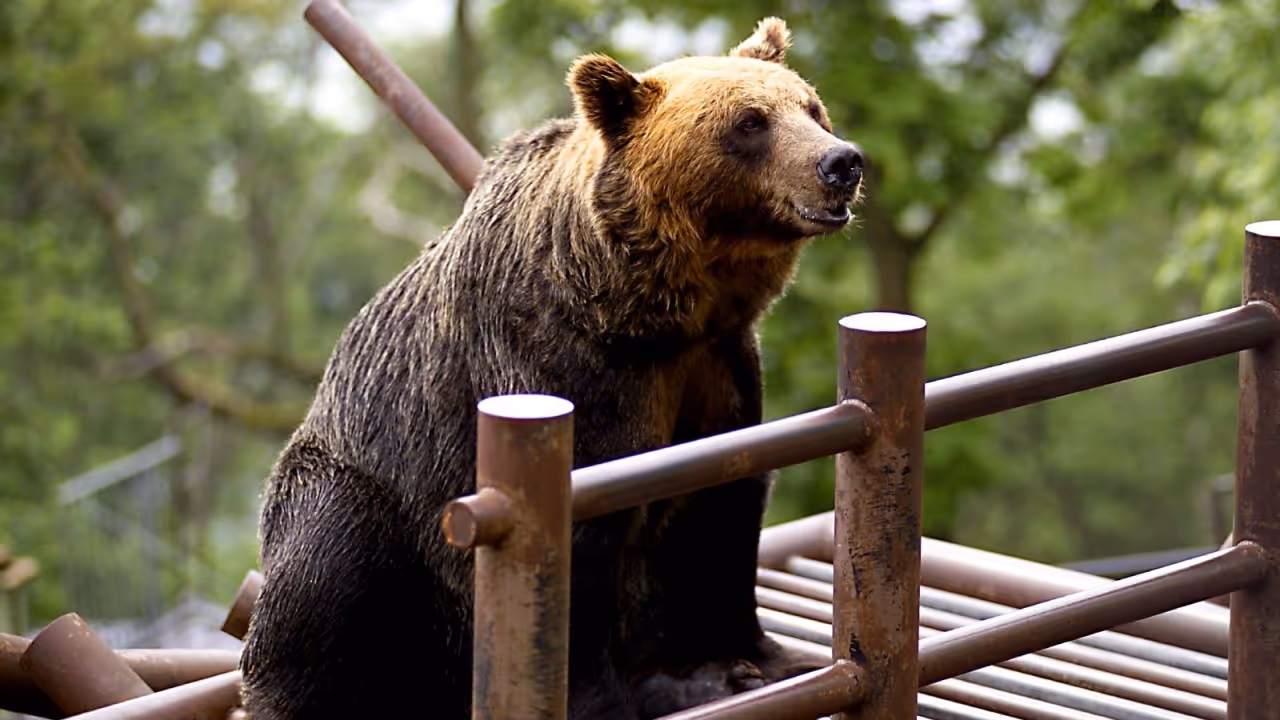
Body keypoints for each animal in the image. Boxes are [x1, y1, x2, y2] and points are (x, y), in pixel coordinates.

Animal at [239, 16, 863, 720]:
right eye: (750, 122)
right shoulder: (563, 374)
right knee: (328, 575)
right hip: (361, 498)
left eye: (810, 107)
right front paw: (601, 698)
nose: (841, 162)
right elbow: (576, 558)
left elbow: (723, 507)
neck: (653, 312)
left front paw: (766, 659)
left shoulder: (717, 369)